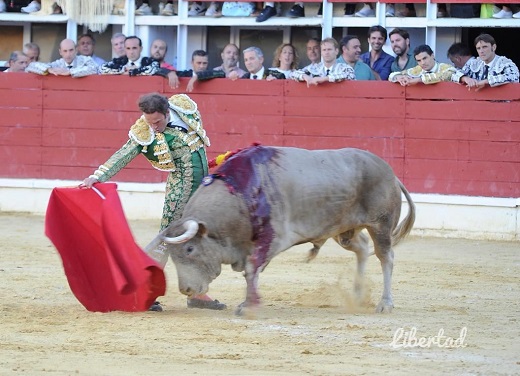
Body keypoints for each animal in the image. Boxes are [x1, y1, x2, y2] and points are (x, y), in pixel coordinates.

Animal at [145, 145, 414, 314]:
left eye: (190, 249)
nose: (186, 289)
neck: (239, 194)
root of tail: (390, 173)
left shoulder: (274, 238)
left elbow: (252, 269)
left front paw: (248, 305)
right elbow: (251, 271)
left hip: (380, 225)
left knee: (385, 257)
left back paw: (385, 304)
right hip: (343, 229)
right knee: (362, 248)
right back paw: (357, 295)